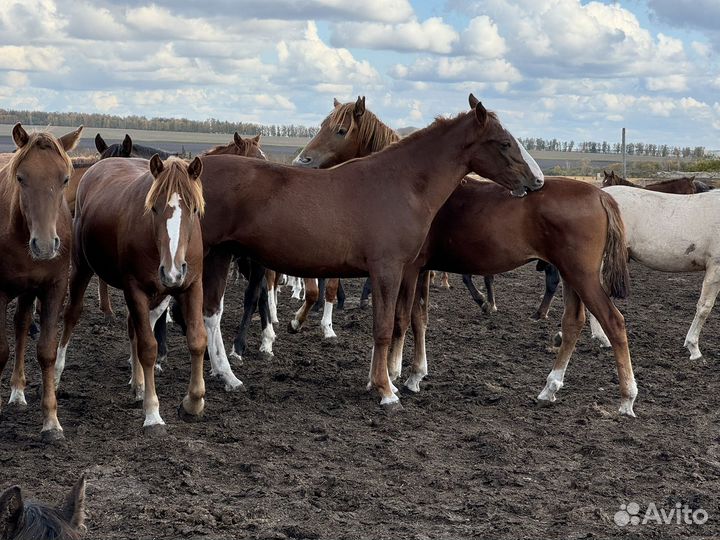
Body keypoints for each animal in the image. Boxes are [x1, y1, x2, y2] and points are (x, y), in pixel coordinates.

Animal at [0, 122, 83, 438]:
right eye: (21, 178)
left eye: (65, 178)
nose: (45, 246)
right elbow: (0, 350)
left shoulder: (53, 288)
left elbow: (46, 352)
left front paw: (51, 422)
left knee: (22, 324)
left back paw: (17, 391)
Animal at [54, 154, 207, 432]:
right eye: (154, 208)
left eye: (192, 209)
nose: (172, 270)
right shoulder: (135, 289)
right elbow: (148, 347)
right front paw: (153, 413)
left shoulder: (192, 286)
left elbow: (197, 340)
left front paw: (193, 402)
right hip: (81, 267)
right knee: (71, 315)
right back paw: (58, 375)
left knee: (133, 326)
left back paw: (139, 384)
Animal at [194, 95, 544, 408]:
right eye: (504, 143)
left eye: (340, 129)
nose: (538, 179)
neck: (401, 184)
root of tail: (192, 171)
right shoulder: (388, 270)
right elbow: (386, 327)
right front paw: (386, 389)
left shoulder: (405, 271)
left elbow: (402, 320)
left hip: (220, 256)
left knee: (212, 312)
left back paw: (227, 376)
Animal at [296, 99, 640, 416]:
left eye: (340, 130)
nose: (302, 160)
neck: (416, 188)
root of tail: (600, 195)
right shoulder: (423, 270)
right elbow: (420, 318)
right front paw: (414, 375)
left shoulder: (410, 269)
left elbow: (401, 318)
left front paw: (392, 374)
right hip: (570, 275)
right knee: (573, 323)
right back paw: (550, 388)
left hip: (581, 275)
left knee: (613, 322)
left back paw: (626, 398)